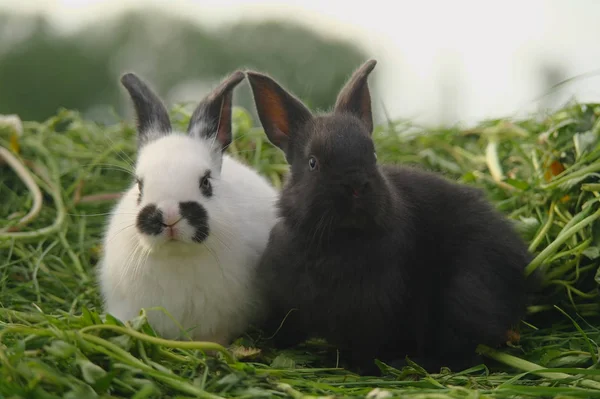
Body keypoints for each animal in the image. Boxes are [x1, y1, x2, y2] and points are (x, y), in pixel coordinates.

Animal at [246, 61, 532, 376]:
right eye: (313, 163)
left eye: (371, 154)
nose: (356, 185)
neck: (339, 241)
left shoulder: (372, 314)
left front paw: (362, 367)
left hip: (465, 295)